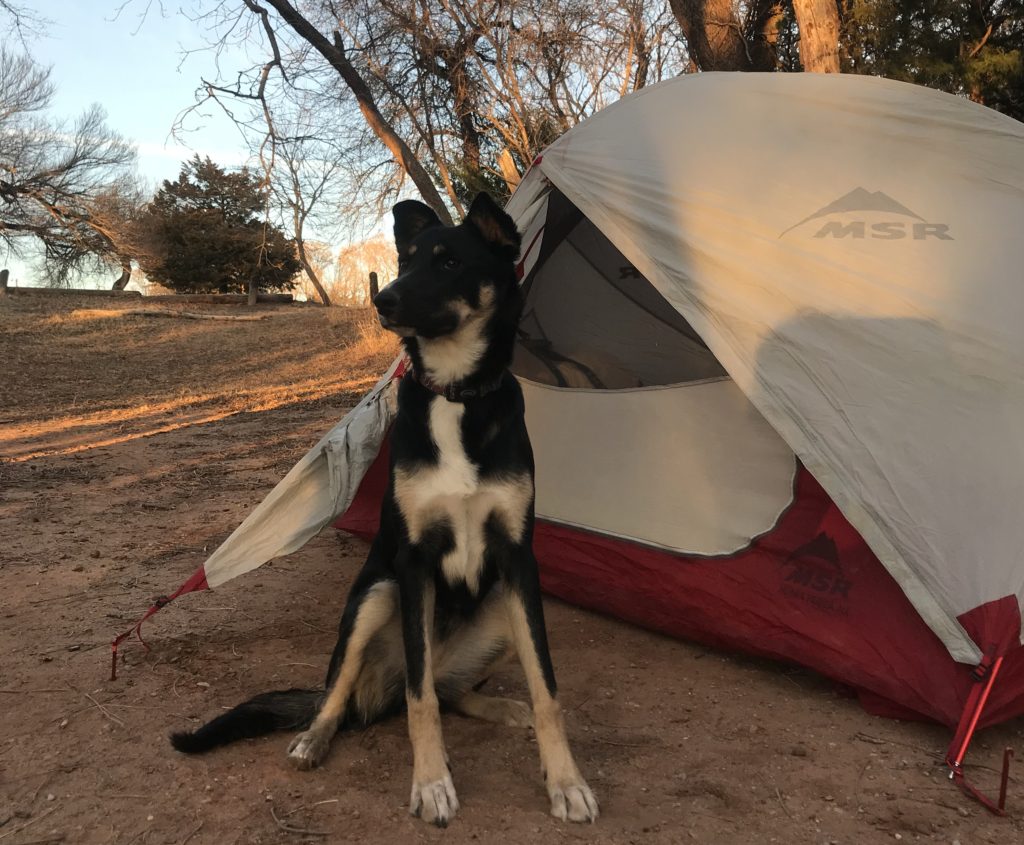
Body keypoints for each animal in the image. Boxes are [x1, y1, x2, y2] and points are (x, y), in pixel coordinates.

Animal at [169, 192, 598, 823]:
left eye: (449, 262)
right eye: (406, 260)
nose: (383, 299)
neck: (455, 395)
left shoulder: (520, 561)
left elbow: (546, 689)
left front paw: (566, 783)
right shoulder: (413, 562)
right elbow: (421, 703)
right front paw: (432, 783)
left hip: (499, 608)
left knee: (449, 690)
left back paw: (499, 707)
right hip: (375, 595)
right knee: (349, 694)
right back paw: (313, 739)